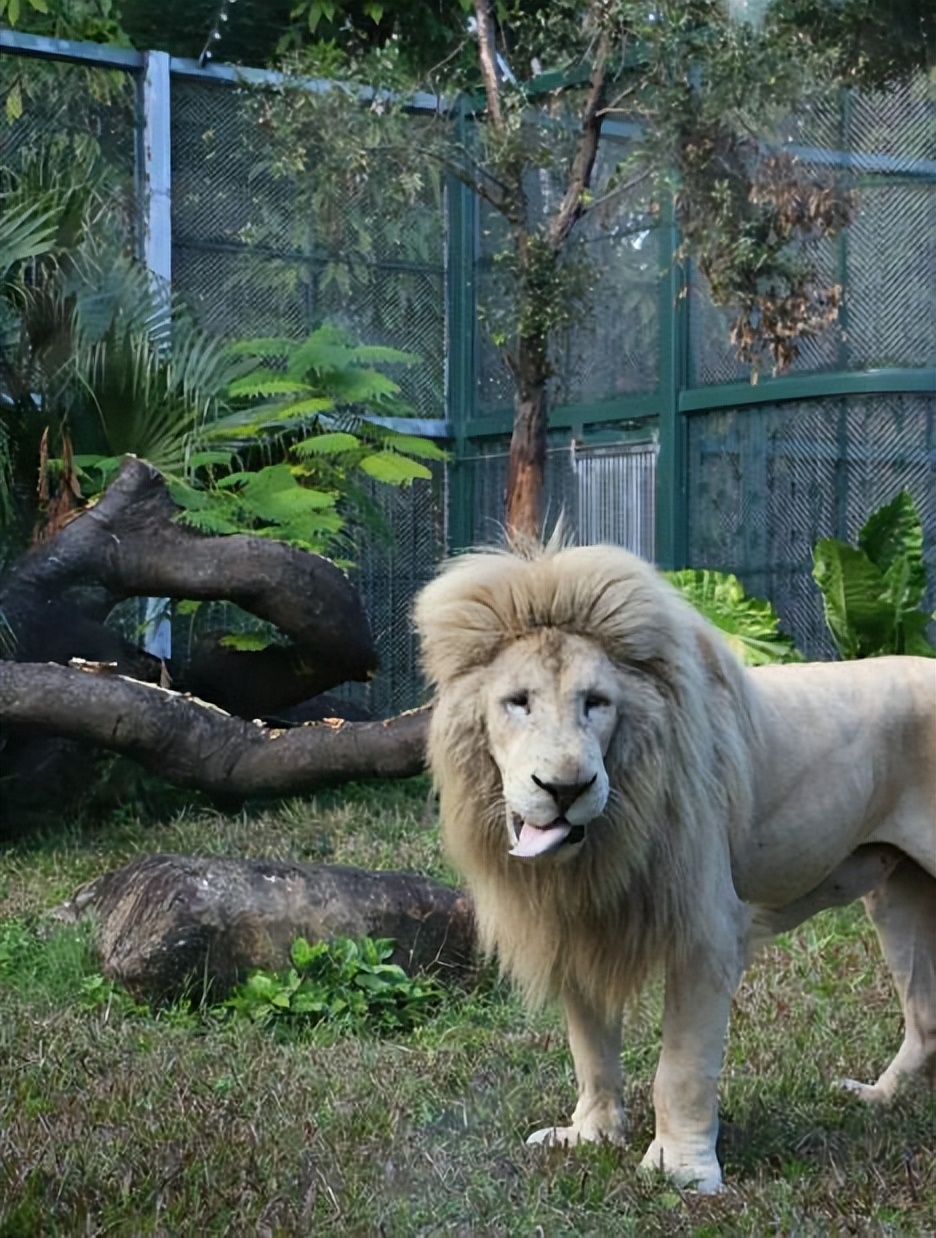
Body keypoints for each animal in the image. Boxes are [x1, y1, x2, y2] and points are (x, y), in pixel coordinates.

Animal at [416, 539, 936, 1188]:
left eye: (596, 703)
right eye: (518, 702)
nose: (566, 787)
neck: (596, 853)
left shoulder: (706, 934)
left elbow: (682, 1068)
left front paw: (682, 1171)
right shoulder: (576, 928)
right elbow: (591, 1049)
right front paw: (591, 1136)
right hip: (899, 896)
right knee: (926, 1021)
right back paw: (875, 1098)